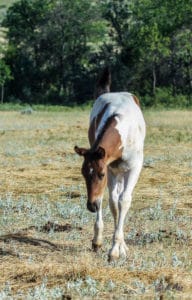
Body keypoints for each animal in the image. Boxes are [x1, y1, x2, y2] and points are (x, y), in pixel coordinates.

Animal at [74, 69, 146, 262]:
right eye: (83, 174)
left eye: (100, 174)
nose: (90, 206)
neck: (123, 131)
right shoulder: (111, 169)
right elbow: (113, 203)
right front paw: (113, 247)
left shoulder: (133, 168)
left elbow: (124, 201)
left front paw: (116, 249)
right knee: (109, 200)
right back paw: (99, 240)